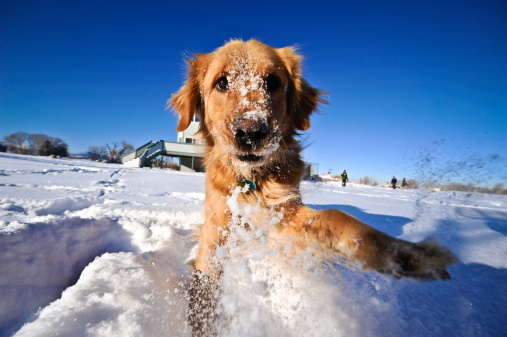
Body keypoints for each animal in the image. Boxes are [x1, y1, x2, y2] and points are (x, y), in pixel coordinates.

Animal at [169, 38, 458, 334]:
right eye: (221, 83)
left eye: (272, 82)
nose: (250, 132)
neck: (252, 181)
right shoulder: (217, 226)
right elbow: (205, 283)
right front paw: (202, 322)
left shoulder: (285, 216)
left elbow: (338, 217)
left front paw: (407, 255)